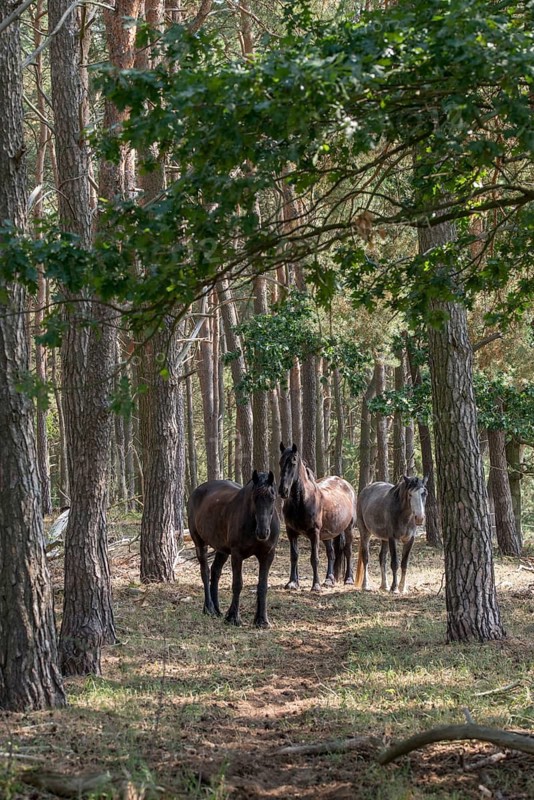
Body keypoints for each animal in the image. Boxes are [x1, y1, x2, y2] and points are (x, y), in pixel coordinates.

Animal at [187, 470, 279, 628]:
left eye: (272, 498)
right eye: (254, 498)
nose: (263, 532)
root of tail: (196, 491)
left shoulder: (267, 555)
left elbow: (263, 586)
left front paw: (262, 620)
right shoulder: (237, 554)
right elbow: (237, 584)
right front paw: (233, 617)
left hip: (222, 550)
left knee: (215, 572)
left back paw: (217, 609)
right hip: (200, 543)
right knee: (205, 572)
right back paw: (209, 608)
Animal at [278, 442, 357, 591]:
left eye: (293, 462)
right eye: (280, 462)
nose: (283, 491)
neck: (303, 500)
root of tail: (346, 485)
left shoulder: (314, 533)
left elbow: (314, 559)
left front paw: (315, 585)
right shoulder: (291, 532)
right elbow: (294, 556)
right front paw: (292, 582)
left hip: (348, 528)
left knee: (348, 551)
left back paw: (349, 579)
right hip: (327, 534)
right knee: (331, 554)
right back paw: (329, 580)